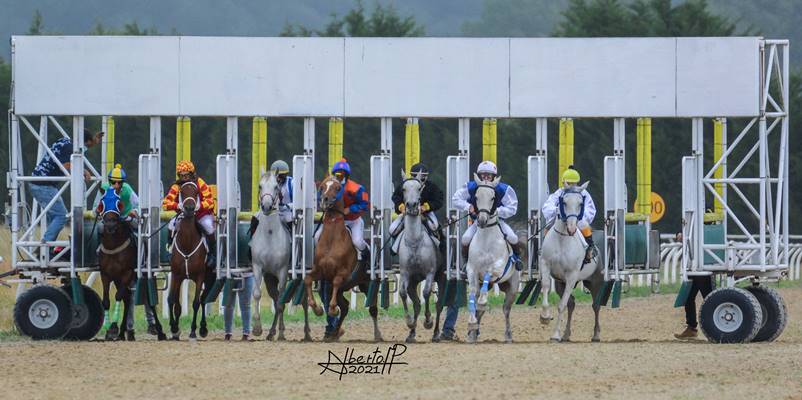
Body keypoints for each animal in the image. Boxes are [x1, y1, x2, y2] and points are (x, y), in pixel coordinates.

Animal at [166, 182, 214, 340]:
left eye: (196, 192)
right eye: (181, 191)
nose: (189, 208)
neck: (187, 243)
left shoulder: (199, 276)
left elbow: (196, 303)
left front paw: (193, 331)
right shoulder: (176, 275)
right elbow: (172, 300)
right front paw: (174, 328)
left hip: (210, 277)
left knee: (203, 299)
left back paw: (203, 328)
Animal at [304, 175, 382, 340]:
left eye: (337, 188)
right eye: (322, 187)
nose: (325, 199)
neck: (332, 240)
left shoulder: (343, 273)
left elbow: (337, 281)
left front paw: (332, 309)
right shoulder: (319, 271)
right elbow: (307, 279)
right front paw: (317, 309)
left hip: (369, 284)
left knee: (372, 308)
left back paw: (377, 334)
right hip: (343, 290)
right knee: (345, 307)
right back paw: (334, 333)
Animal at [396, 170, 444, 342]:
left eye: (419, 188)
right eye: (403, 189)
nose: (411, 206)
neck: (414, 242)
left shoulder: (430, 273)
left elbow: (426, 293)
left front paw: (428, 321)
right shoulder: (405, 274)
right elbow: (403, 294)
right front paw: (409, 322)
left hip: (441, 277)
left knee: (439, 304)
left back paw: (436, 333)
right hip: (412, 282)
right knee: (416, 304)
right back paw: (411, 333)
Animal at [462, 175, 520, 344]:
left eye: (493, 197)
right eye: (476, 196)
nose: (481, 220)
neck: (486, 240)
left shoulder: (498, 267)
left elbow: (489, 272)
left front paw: (481, 303)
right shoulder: (472, 270)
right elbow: (472, 293)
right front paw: (471, 324)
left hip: (512, 288)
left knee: (506, 310)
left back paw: (508, 335)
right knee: (480, 305)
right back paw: (473, 332)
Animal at [536, 180, 600, 340]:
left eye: (580, 203)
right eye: (564, 202)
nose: (571, 228)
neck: (563, 239)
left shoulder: (572, 275)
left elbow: (561, 305)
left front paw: (555, 334)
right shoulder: (545, 264)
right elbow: (545, 286)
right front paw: (545, 317)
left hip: (595, 281)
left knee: (596, 305)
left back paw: (596, 334)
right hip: (561, 283)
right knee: (572, 304)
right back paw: (566, 334)